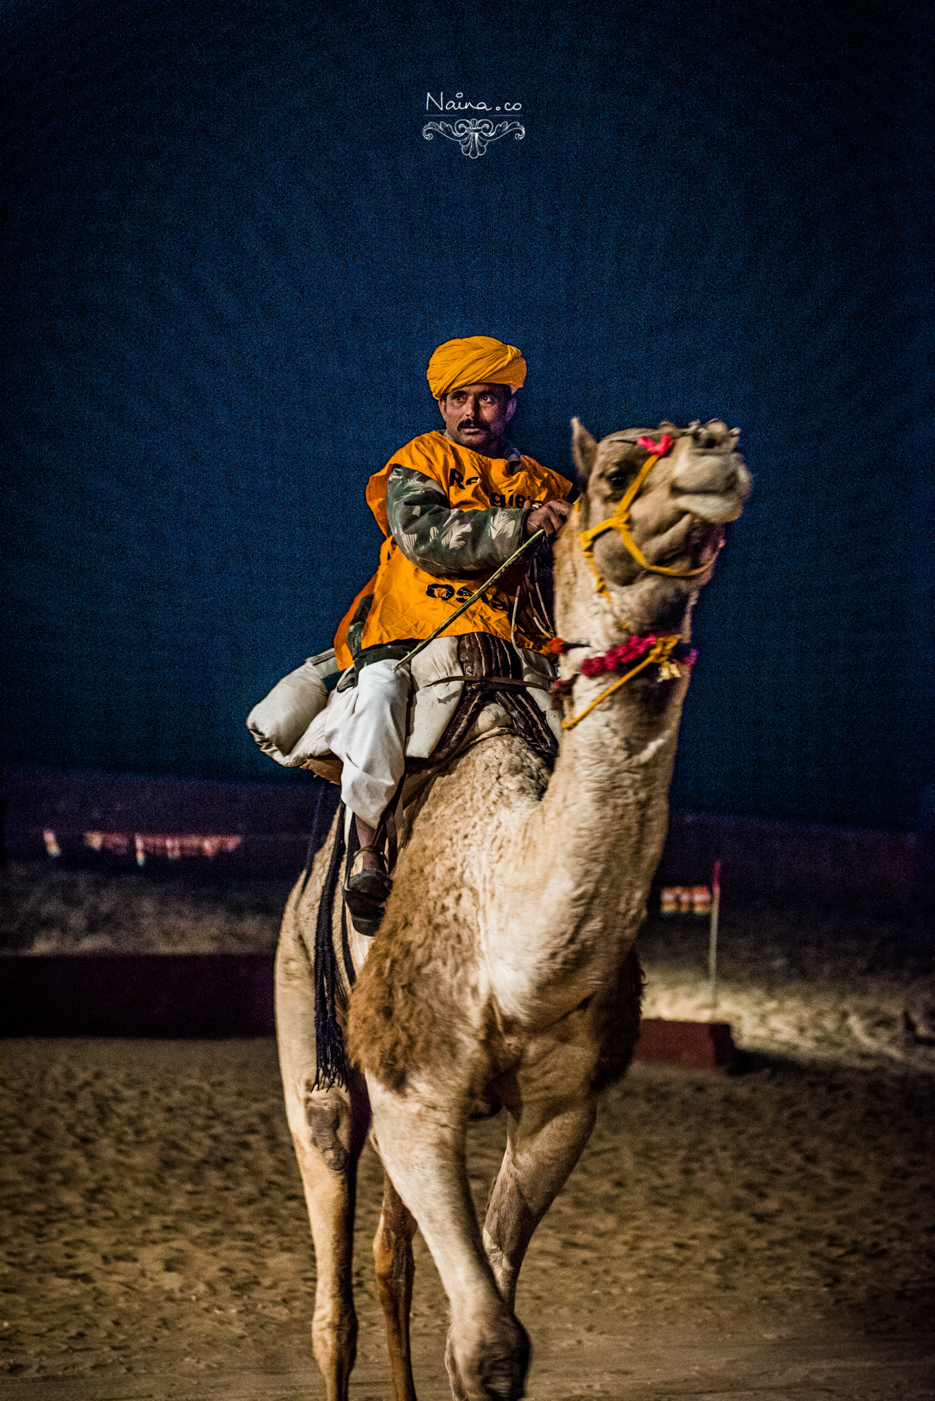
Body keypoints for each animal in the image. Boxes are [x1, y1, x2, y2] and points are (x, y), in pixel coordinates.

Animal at [276, 417, 751, 1401]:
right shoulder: (416, 1090)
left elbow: (485, 1327)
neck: (509, 947)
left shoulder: (563, 1104)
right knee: (331, 1277)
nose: (715, 450)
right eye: (615, 470)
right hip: (310, 1019)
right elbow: (487, 1342)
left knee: (390, 1260)